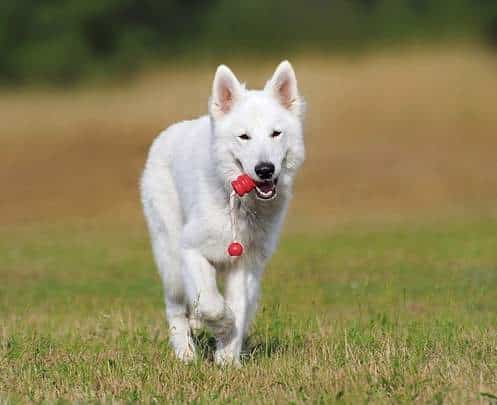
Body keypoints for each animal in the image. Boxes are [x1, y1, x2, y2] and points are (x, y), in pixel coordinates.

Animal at [139, 60, 302, 366]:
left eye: (276, 134)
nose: (265, 169)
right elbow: (212, 304)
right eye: (244, 136)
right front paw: (221, 325)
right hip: (171, 258)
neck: (237, 202)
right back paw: (185, 353)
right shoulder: (191, 250)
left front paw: (227, 359)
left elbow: (237, 306)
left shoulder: (245, 264)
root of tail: (167, 134)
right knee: (175, 307)